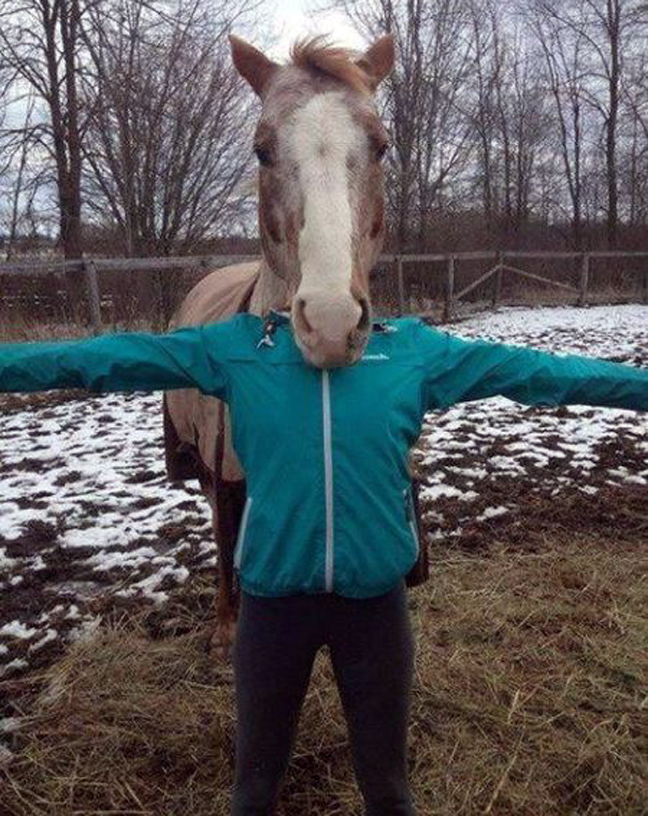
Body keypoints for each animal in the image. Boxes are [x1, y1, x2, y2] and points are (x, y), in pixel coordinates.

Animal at [163, 33, 426, 655]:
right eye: (261, 151)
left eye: (382, 146)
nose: (330, 323)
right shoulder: (227, 484)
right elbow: (229, 549)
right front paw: (225, 631)